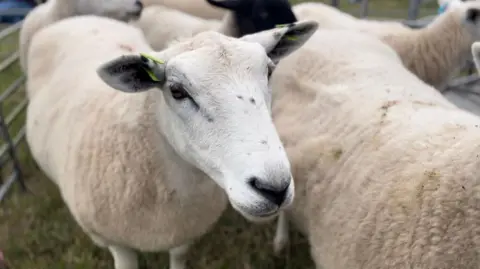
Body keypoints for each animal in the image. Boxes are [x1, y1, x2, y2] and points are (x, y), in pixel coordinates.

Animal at [26, 14, 318, 268]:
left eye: (269, 72)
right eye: (177, 91)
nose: (275, 188)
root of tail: (78, 18)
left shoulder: (183, 227)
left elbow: (178, 256)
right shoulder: (115, 241)